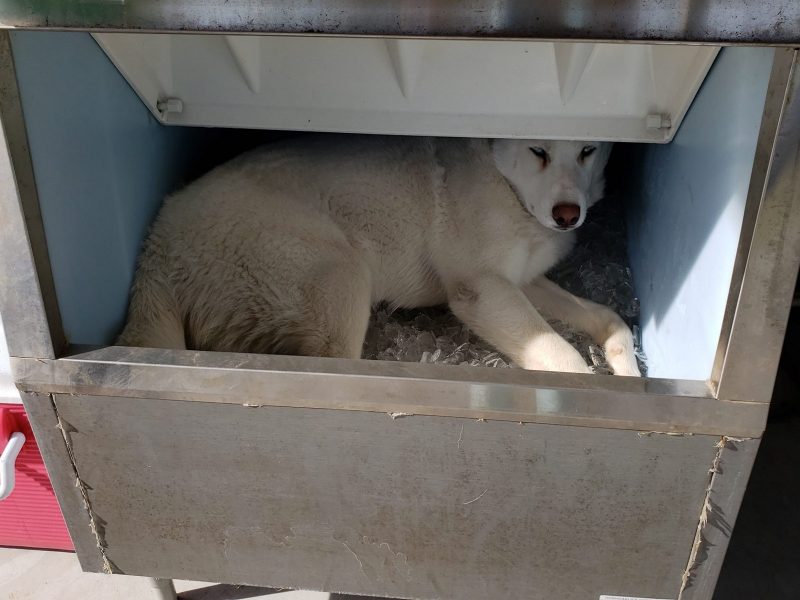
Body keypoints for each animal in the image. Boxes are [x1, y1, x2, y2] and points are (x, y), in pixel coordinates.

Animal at [119, 136, 640, 376]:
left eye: (588, 150)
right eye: (537, 151)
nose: (568, 215)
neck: (506, 186)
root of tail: (156, 247)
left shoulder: (524, 282)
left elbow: (611, 319)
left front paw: (628, 370)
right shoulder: (484, 290)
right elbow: (565, 357)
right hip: (344, 278)